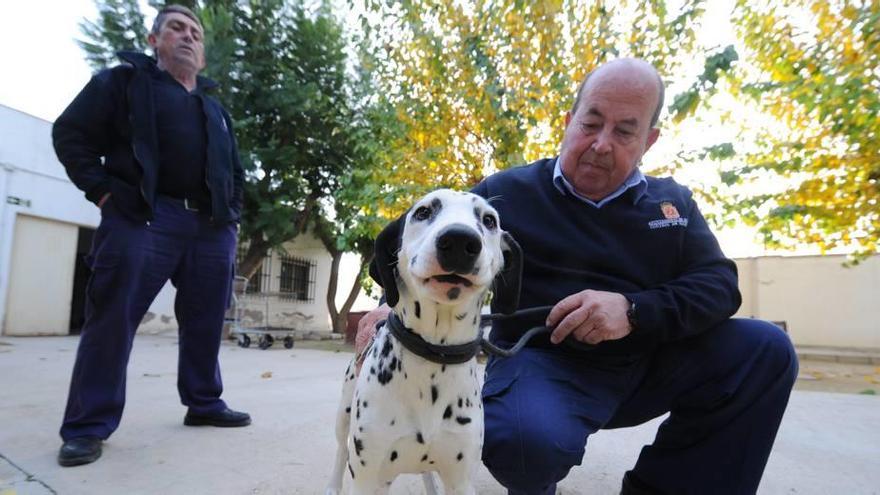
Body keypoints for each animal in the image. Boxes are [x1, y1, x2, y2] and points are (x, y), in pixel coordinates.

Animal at [324, 188, 520, 494]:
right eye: (423, 212)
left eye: (489, 220)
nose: (460, 240)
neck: (434, 355)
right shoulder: (368, 477)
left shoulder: (461, 480)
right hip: (344, 415)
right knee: (341, 450)